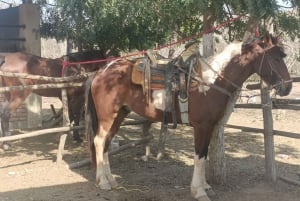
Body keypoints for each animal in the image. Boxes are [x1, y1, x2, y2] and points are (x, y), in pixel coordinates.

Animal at [85, 33, 292, 201]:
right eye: (275, 58)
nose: (288, 87)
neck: (209, 82)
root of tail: (101, 72)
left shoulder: (209, 127)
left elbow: (204, 153)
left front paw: (205, 187)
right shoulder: (202, 127)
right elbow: (199, 155)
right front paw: (199, 191)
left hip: (119, 114)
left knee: (106, 143)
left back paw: (111, 180)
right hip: (107, 117)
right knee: (99, 141)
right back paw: (103, 182)